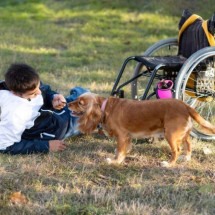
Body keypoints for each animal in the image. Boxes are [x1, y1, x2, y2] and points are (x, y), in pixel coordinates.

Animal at [67, 92, 215, 166]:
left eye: (80, 103)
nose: (67, 104)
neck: (105, 108)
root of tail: (185, 105)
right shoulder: (126, 137)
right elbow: (122, 149)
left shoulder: (122, 135)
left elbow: (120, 151)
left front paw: (115, 161)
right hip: (182, 133)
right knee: (188, 144)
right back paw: (187, 158)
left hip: (170, 134)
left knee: (176, 150)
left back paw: (169, 164)